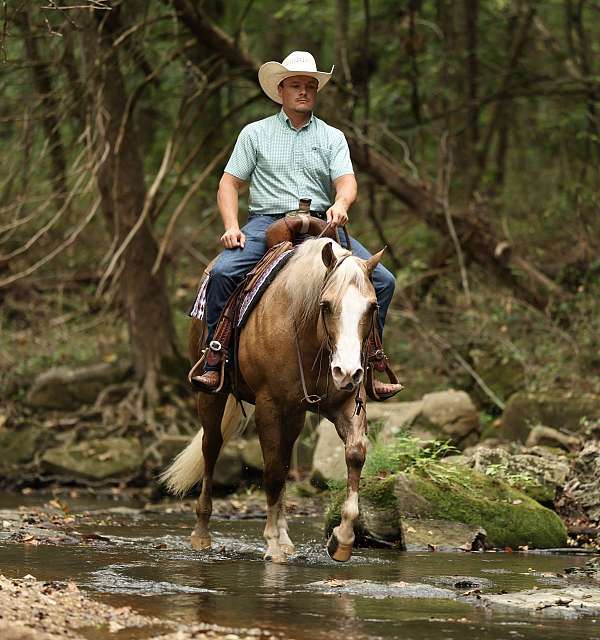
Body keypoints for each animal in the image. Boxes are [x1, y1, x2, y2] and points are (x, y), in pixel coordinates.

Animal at [161, 237, 384, 563]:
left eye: (373, 307)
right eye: (326, 305)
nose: (347, 372)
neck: (309, 337)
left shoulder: (346, 403)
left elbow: (354, 455)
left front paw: (341, 540)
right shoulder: (268, 407)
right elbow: (271, 473)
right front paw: (272, 546)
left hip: (295, 416)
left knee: (284, 459)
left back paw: (287, 538)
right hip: (211, 397)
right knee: (212, 448)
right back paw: (201, 534)